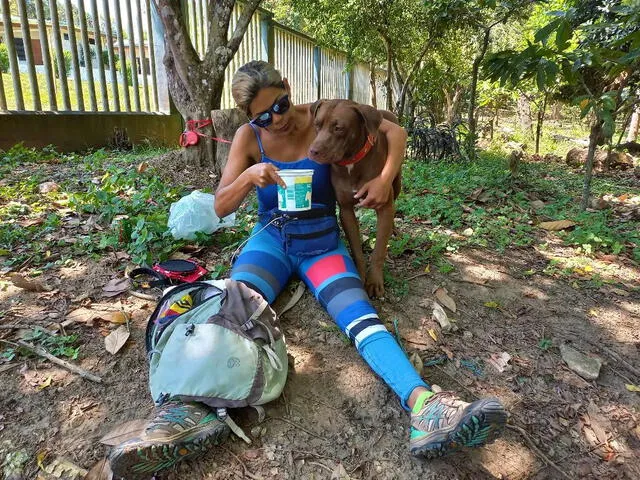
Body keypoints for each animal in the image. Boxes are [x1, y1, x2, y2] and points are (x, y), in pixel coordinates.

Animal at [306, 100, 400, 298]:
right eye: (317, 124)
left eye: (338, 128)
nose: (313, 151)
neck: (351, 162)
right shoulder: (346, 211)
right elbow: (356, 247)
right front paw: (361, 273)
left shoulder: (384, 207)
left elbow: (379, 249)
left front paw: (374, 280)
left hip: (396, 183)